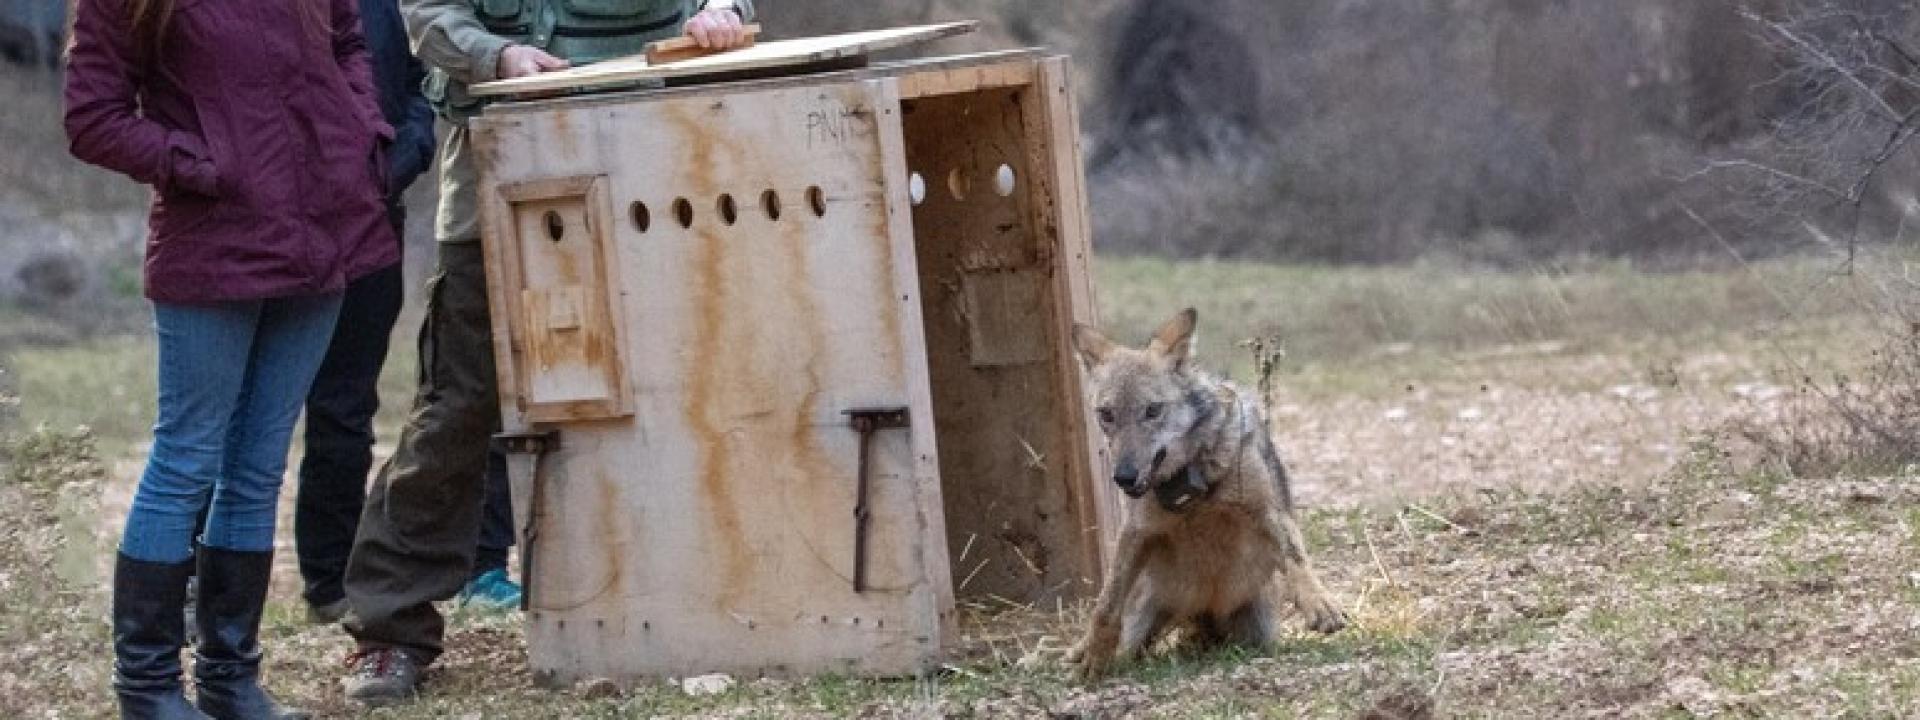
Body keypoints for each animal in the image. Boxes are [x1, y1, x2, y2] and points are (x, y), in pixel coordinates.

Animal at [1067, 307, 1351, 679]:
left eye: (1153, 410)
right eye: (1106, 415)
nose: (1124, 477)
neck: (1194, 484)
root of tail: (1203, 617)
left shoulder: (1269, 510)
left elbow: (1295, 557)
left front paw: (1321, 604)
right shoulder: (1136, 532)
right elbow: (1106, 604)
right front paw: (1093, 655)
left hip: (1256, 628)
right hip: (1143, 621)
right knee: (1129, 639)